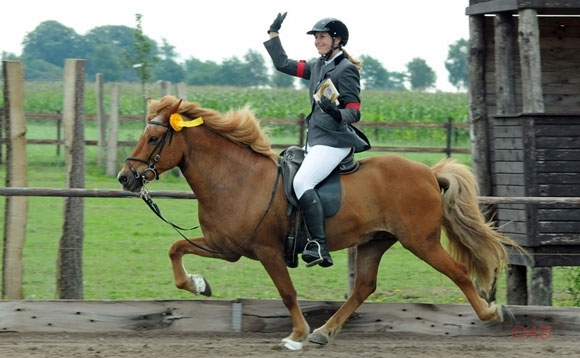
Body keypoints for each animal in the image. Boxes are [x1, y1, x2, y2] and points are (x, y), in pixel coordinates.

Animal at [119, 95, 520, 350]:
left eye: (153, 138)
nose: (126, 179)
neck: (235, 177)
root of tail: (429, 172)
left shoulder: (267, 250)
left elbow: (287, 292)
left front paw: (296, 335)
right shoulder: (226, 245)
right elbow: (176, 249)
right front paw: (198, 284)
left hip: (420, 242)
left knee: (458, 272)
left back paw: (490, 312)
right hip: (375, 241)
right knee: (363, 287)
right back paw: (325, 332)